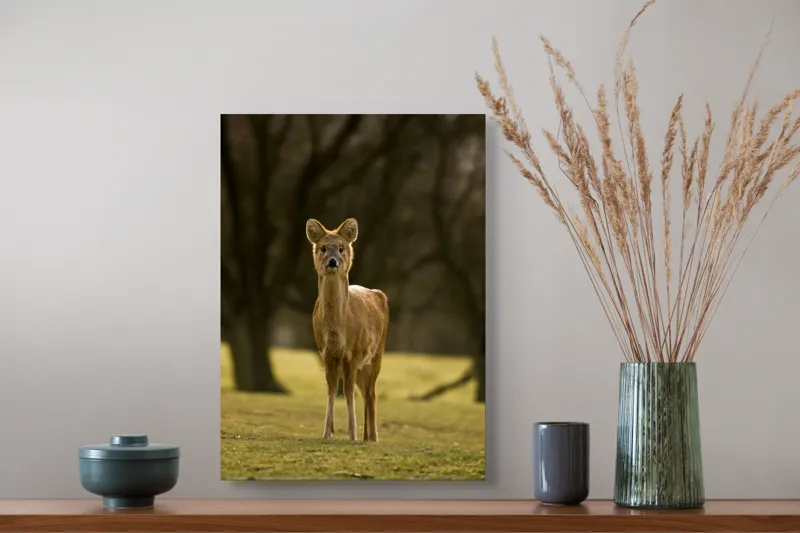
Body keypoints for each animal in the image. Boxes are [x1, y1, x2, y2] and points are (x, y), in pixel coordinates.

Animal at [305, 218, 389, 442]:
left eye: (341, 248)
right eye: (323, 248)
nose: (333, 261)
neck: (337, 331)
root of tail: (380, 294)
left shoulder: (352, 352)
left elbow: (348, 392)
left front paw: (352, 434)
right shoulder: (325, 351)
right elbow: (332, 389)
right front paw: (327, 433)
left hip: (376, 354)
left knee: (371, 393)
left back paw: (373, 437)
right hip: (362, 364)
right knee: (365, 391)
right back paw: (367, 436)